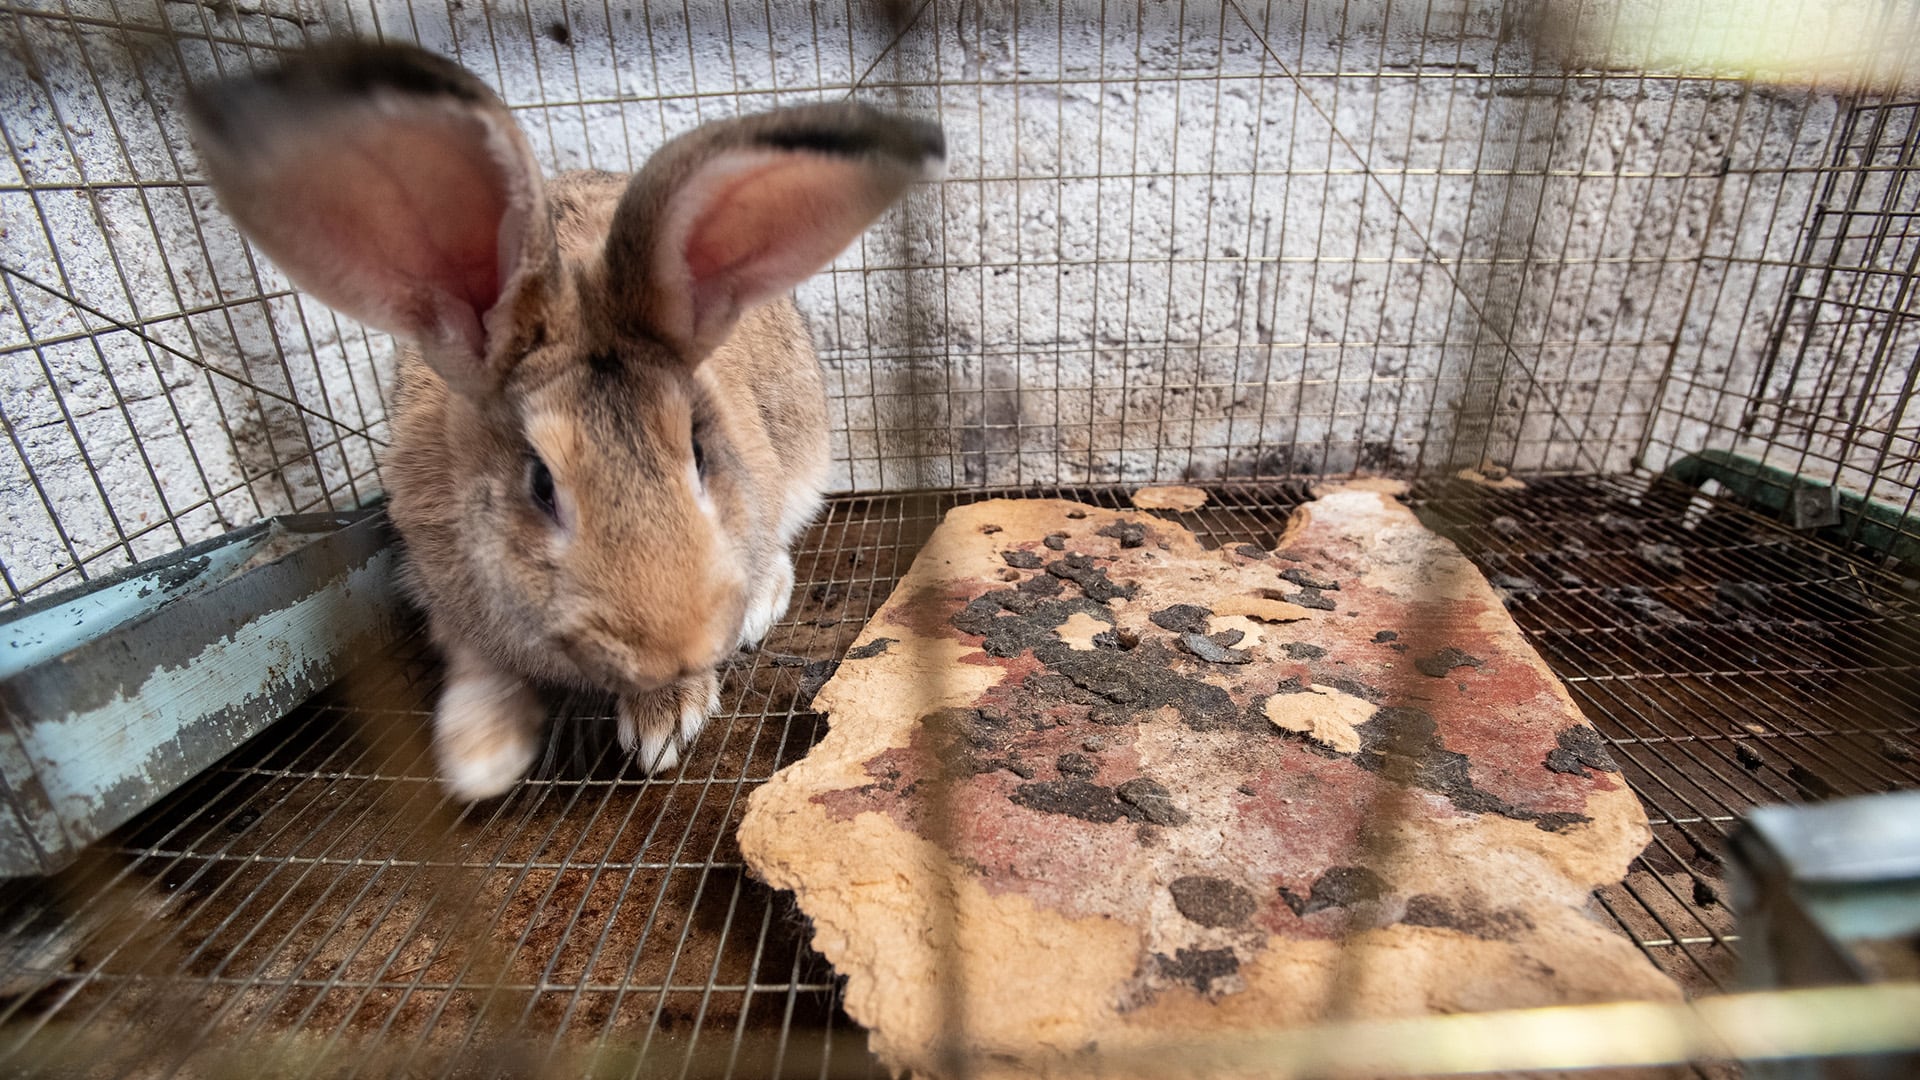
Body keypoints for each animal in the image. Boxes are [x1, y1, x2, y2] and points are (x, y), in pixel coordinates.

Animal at [189, 42, 944, 795]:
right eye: (540, 484)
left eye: (699, 454)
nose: (670, 650)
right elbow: (474, 665)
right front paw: (479, 757)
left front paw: (665, 719)